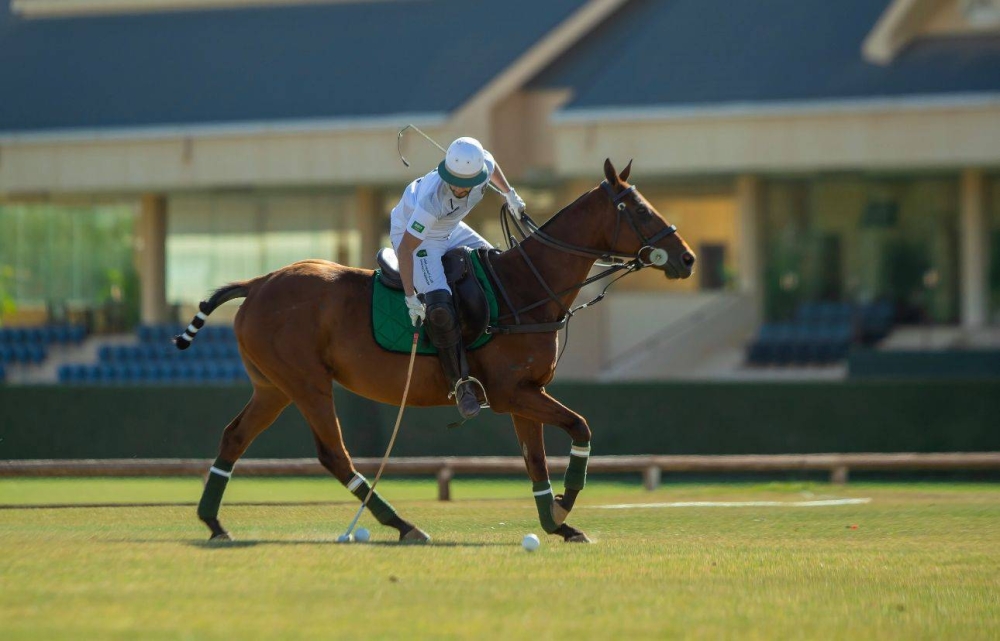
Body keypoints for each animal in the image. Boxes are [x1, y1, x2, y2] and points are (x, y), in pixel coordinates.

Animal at [182, 159, 696, 540]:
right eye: (637, 209)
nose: (687, 258)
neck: (526, 287)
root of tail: (258, 283)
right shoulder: (510, 393)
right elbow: (580, 426)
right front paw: (565, 507)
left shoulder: (525, 393)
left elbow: (535, 459)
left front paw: (555, 523)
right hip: (306, 383)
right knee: (333, 454)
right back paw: (402, 524)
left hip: (273, 386)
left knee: (234, 437)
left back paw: (213, 522)